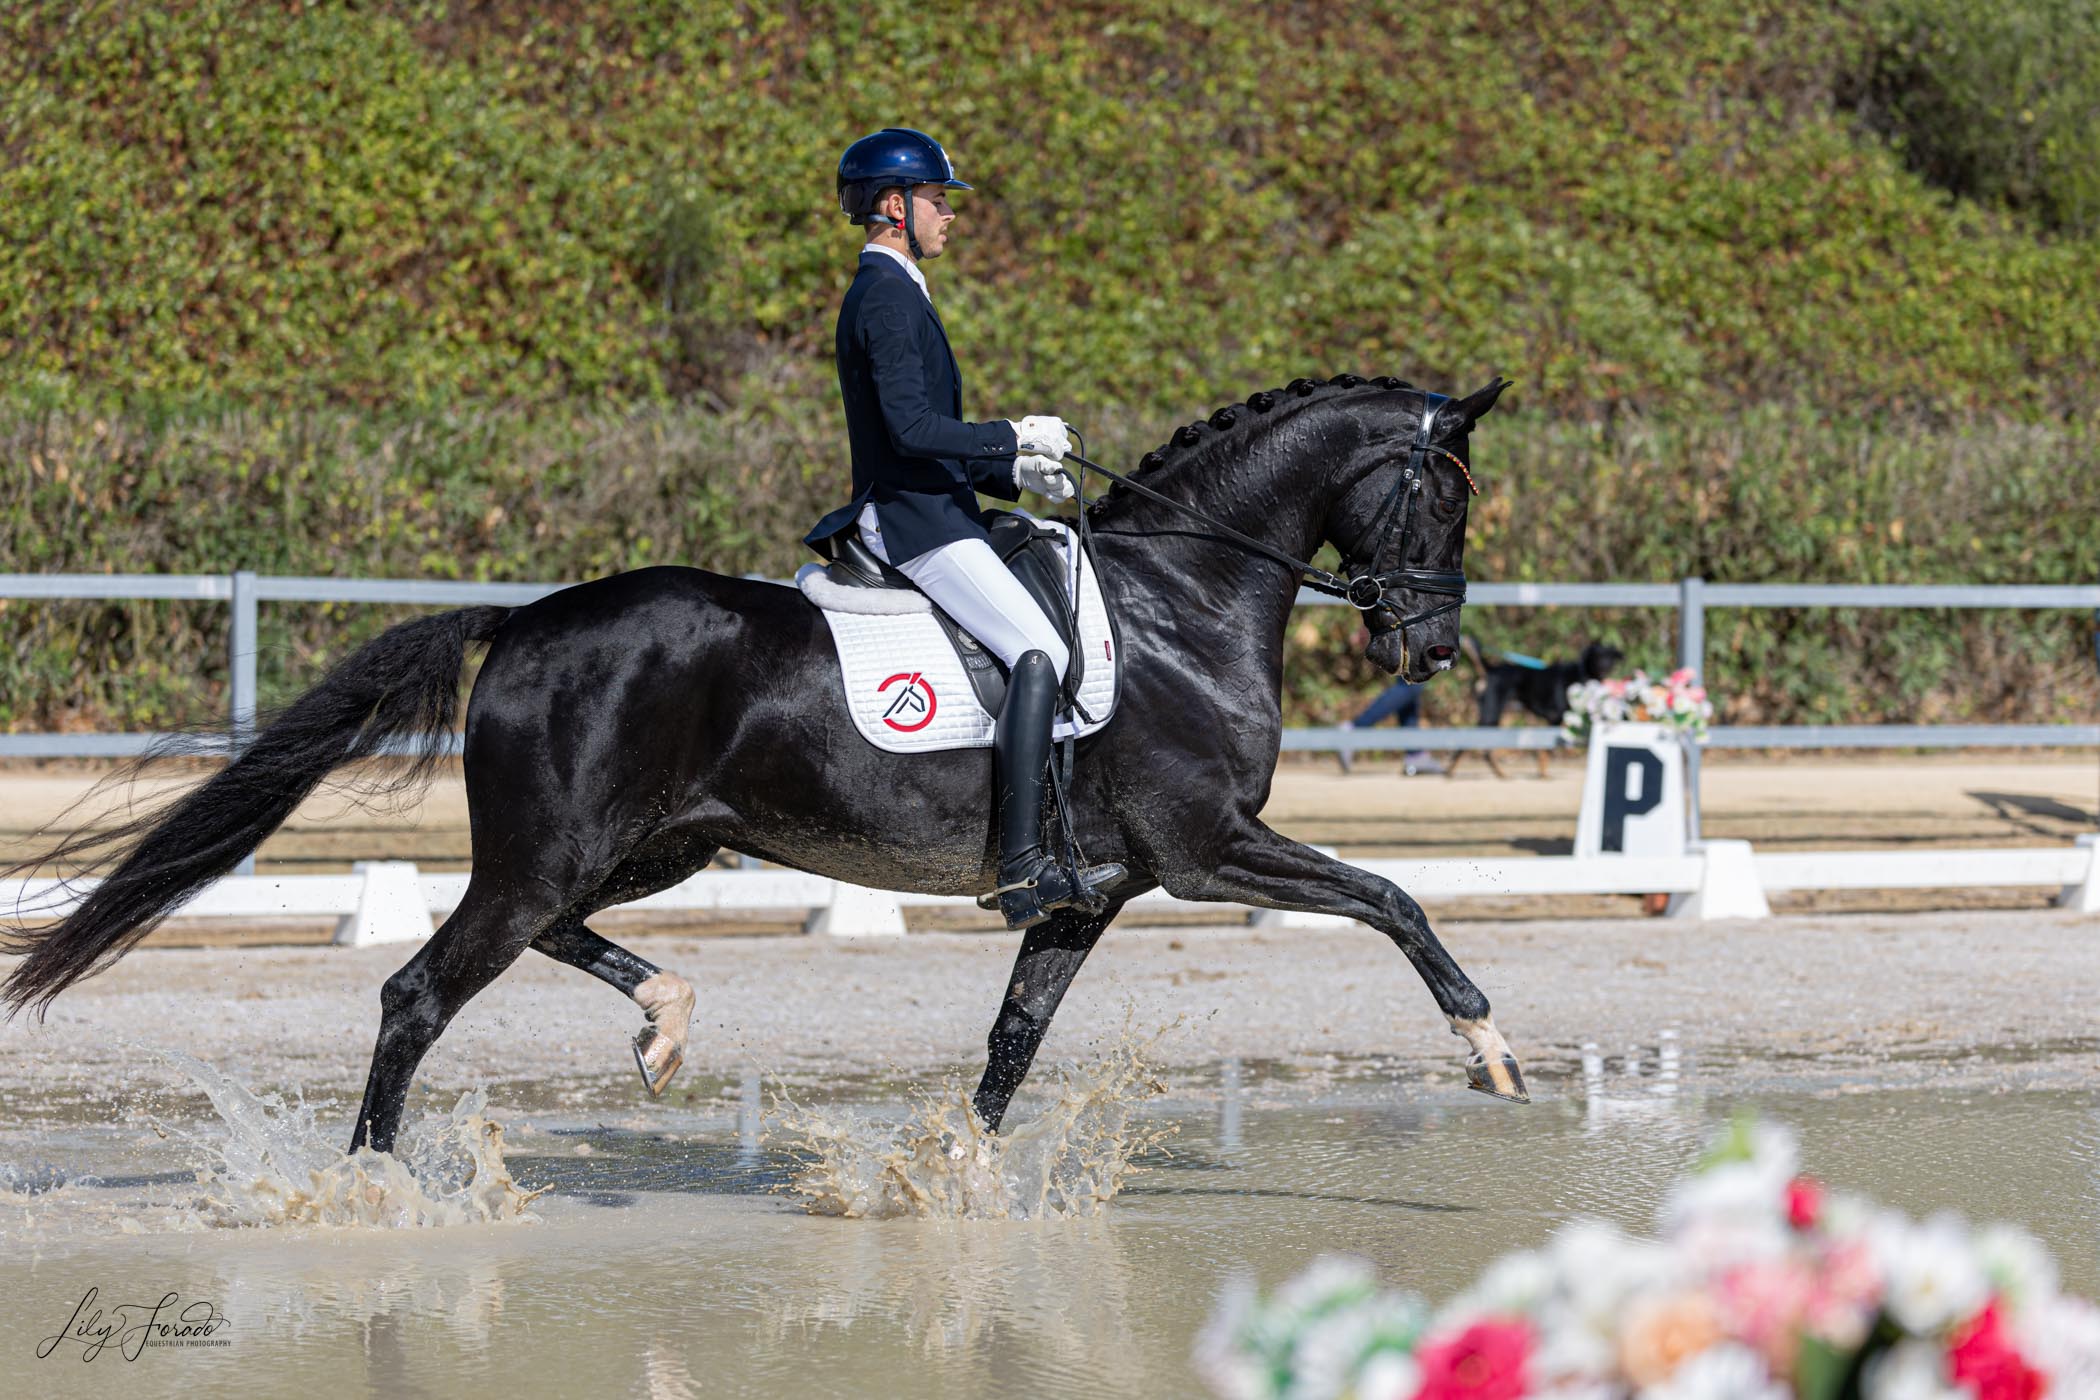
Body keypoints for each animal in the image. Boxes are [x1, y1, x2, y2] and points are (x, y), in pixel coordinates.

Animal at [0, 369, 1511, 1150]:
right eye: (1440, 498)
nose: (1433, 645)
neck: (1178, 606)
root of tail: (524, 619)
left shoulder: (1099, 890)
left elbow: (1014, 1038)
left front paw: (951, 1178)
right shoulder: (1207, 853)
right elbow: (1394, 898)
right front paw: (1490, 1050)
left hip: (654, 843)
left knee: (549, 934)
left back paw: (666, 1019)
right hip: (562, 844)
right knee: (421, 991)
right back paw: (373, 1186)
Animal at [1461, 633, 1621, 776]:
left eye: (1609, 656)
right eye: (1598, 656)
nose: (1605, 666)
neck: (1581, 673)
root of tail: (1490, 669)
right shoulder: (1555, 718)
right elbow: (1546, 750)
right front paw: (1543, 774)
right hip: (1491, 716)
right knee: (1477, 748)